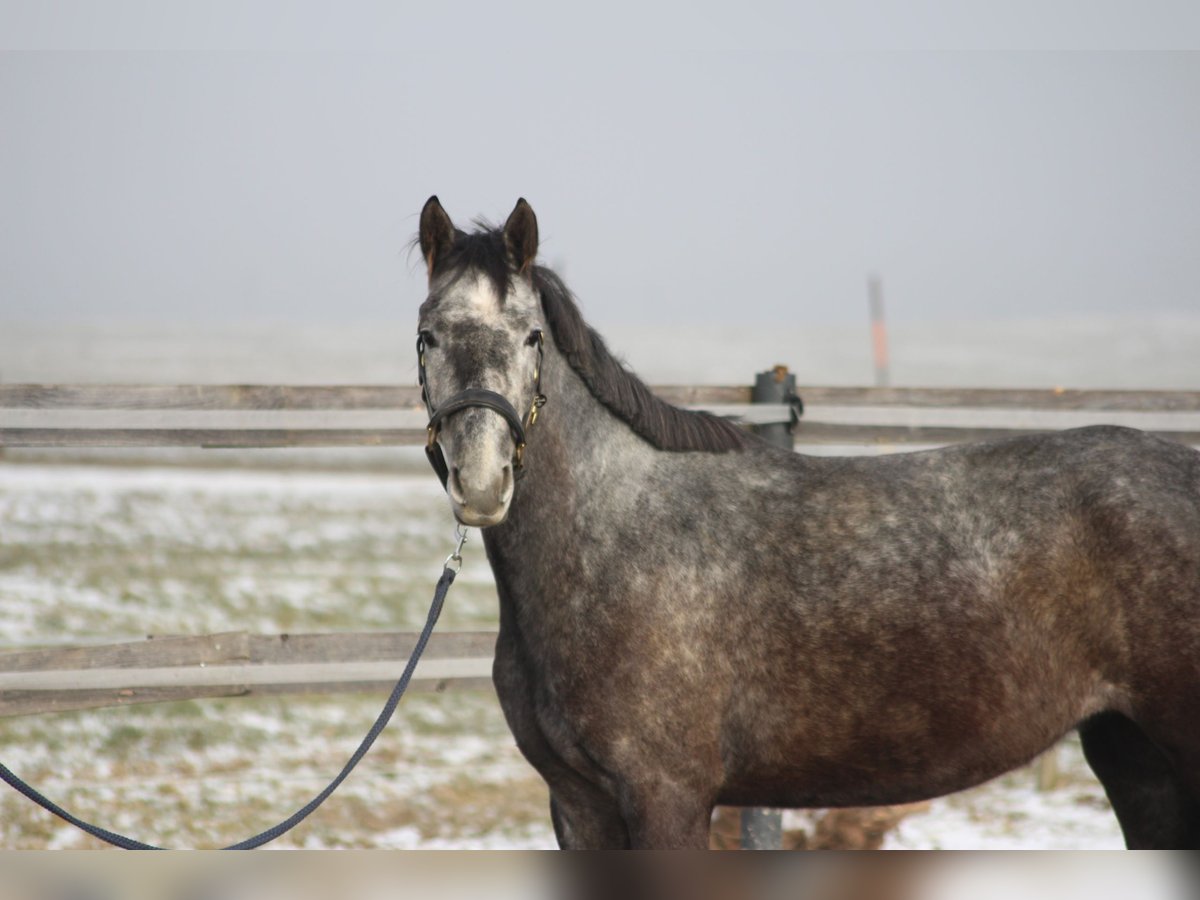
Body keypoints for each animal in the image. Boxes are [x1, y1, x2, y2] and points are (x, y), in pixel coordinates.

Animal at [412, 194, 1200, 849]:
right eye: (427, 336)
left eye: (531, 337)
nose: (481, 481)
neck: (610, 541)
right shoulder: (578, 806)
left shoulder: (667, 797)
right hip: (1132, 755)